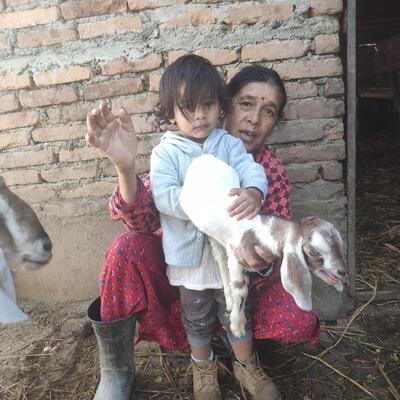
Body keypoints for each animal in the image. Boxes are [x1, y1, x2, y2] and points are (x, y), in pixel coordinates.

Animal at [180, 154, 347, 339]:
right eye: (314, 252)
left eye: (339, 245)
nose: (342, 271)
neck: (256, 230)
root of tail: (202, 156)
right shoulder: (236, 255)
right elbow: (240, 288)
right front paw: (237, 326)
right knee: (220, 260)